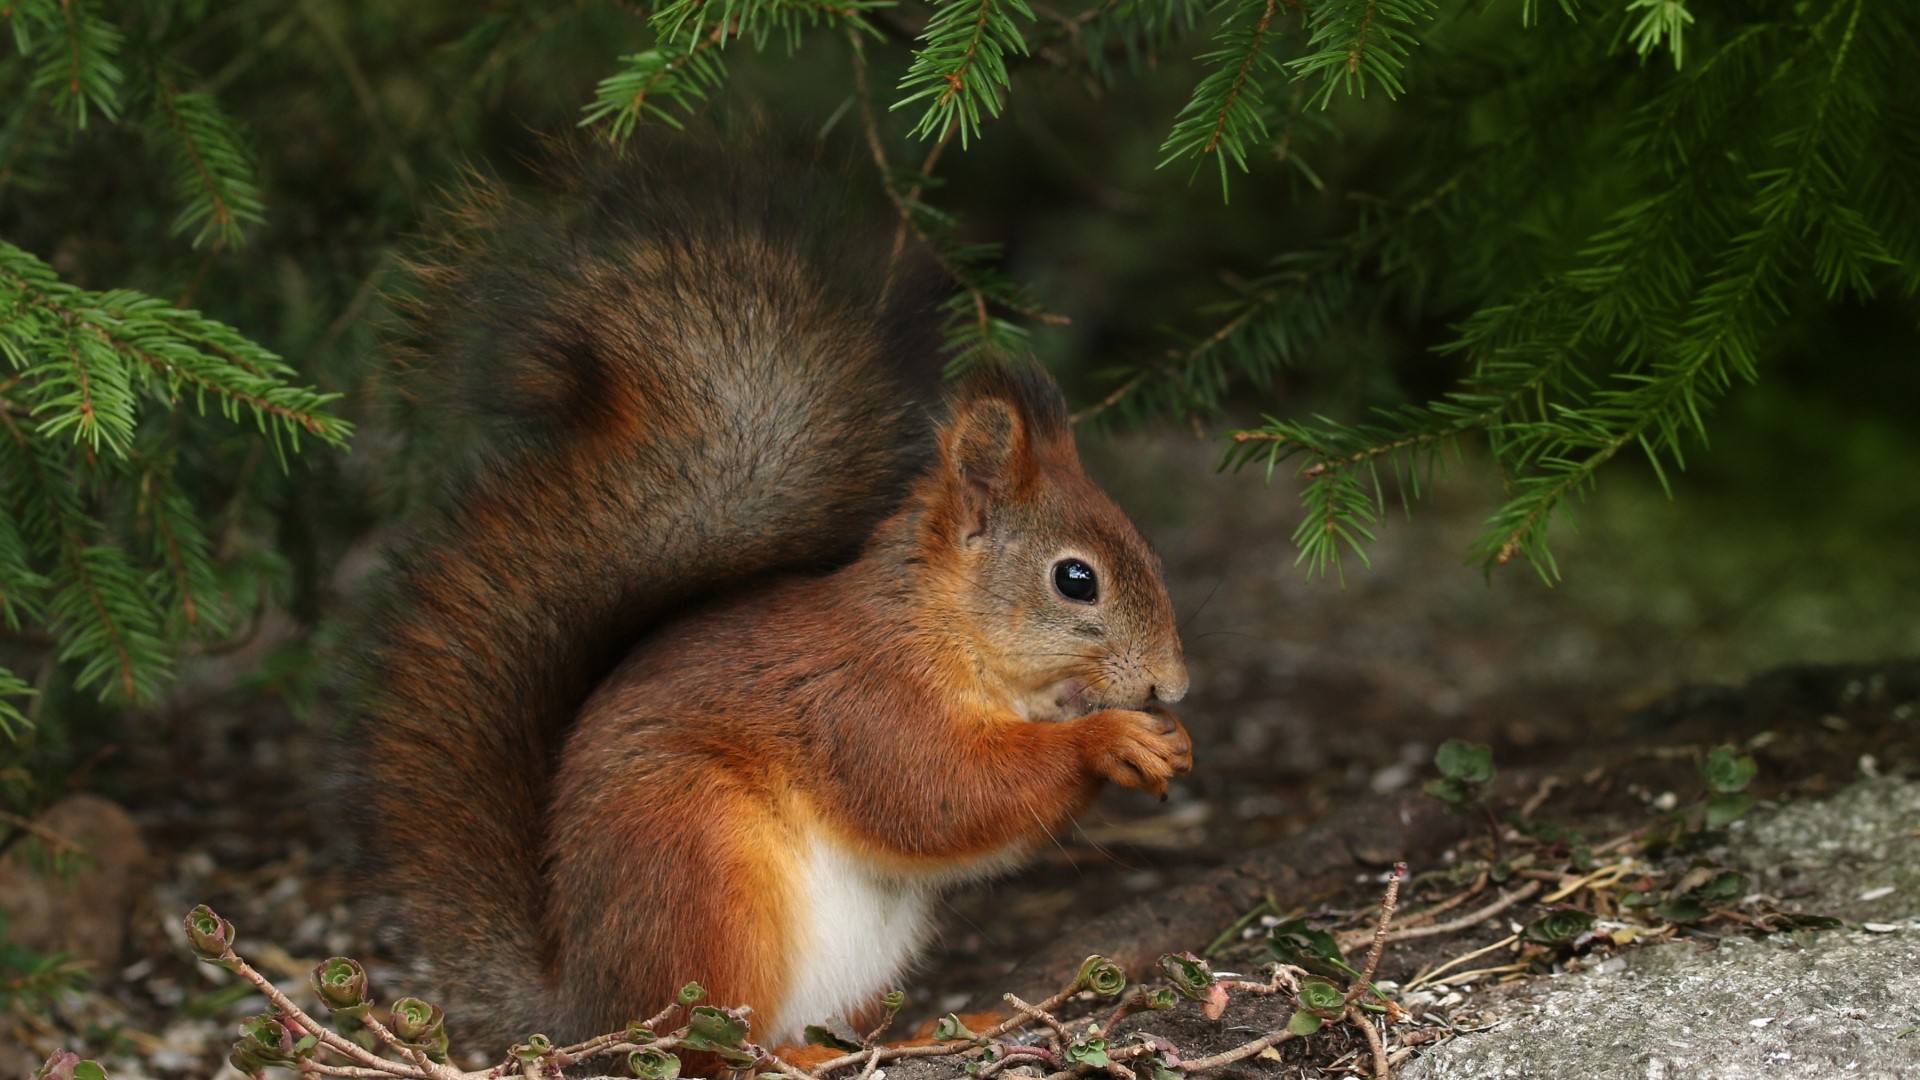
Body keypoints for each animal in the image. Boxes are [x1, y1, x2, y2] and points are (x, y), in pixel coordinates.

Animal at [347, 141, 1193, 1054]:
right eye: (1076, 579)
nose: (1175, 685)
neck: (943, 630)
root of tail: (584, 1007)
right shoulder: (861, 704)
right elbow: (938, 793)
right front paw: (1109, 739)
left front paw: (1165, 739)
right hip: (699, 868)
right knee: (707, 1047)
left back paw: (923, 1033)